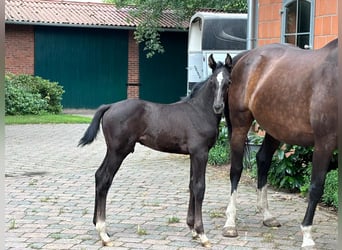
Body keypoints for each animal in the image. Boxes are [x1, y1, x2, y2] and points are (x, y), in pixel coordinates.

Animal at [78, 53, 232, 247]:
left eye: (228, 82)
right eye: (212, 81)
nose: (218, 107)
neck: (200, 111)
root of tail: (110, 106)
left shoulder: (193, 155)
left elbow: (191, 185)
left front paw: (192, 229)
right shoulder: (201, 153)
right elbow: (199, 187)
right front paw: (202, 234)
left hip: (113, 151)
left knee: (99, 175)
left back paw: (98, 225)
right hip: (118, 151)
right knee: (105, 178)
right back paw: (103, 232)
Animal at [222, 38, 336, 247]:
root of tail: (246, 55)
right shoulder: (325, 142)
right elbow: (316, 187)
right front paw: (307, 236)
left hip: (275, 129)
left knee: (263, 160)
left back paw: (267, 215)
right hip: (240, 125)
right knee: (236, 170)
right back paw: (230, 223)